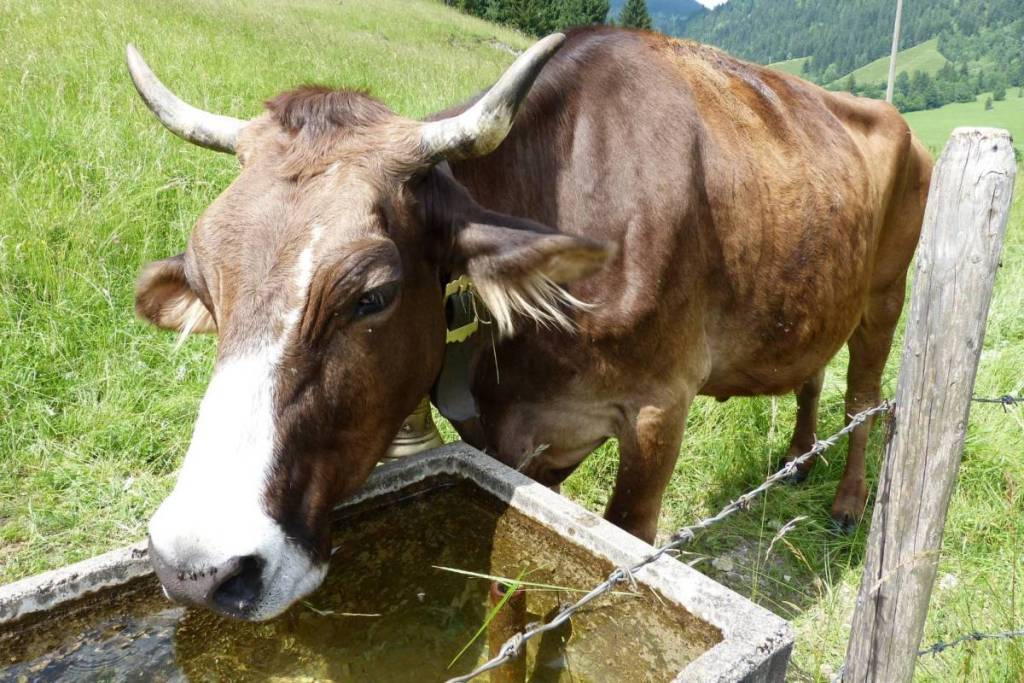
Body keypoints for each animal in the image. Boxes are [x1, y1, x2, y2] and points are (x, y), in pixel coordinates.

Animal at [127, 27, 931, 621]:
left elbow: (617, 543)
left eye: (374, 295)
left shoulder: (658, 409)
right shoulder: (503, 436)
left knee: (866, 399)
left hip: (887, 297)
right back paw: (799, 457)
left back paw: (847, 503)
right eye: (205, 281)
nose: (195, 566)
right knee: (811, 375)